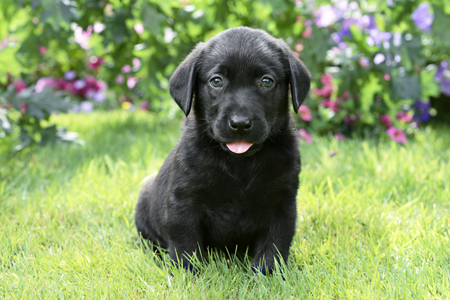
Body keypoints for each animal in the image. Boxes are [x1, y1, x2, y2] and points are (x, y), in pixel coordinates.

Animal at [135, 27, 312, 276]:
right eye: (216, 81)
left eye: (266, 81)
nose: (240, 123)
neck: (239, 163)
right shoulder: (184, 201)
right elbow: (185, 242)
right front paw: (187, 273)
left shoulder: (282, 202)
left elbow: (275, 242)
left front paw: (267, 274)